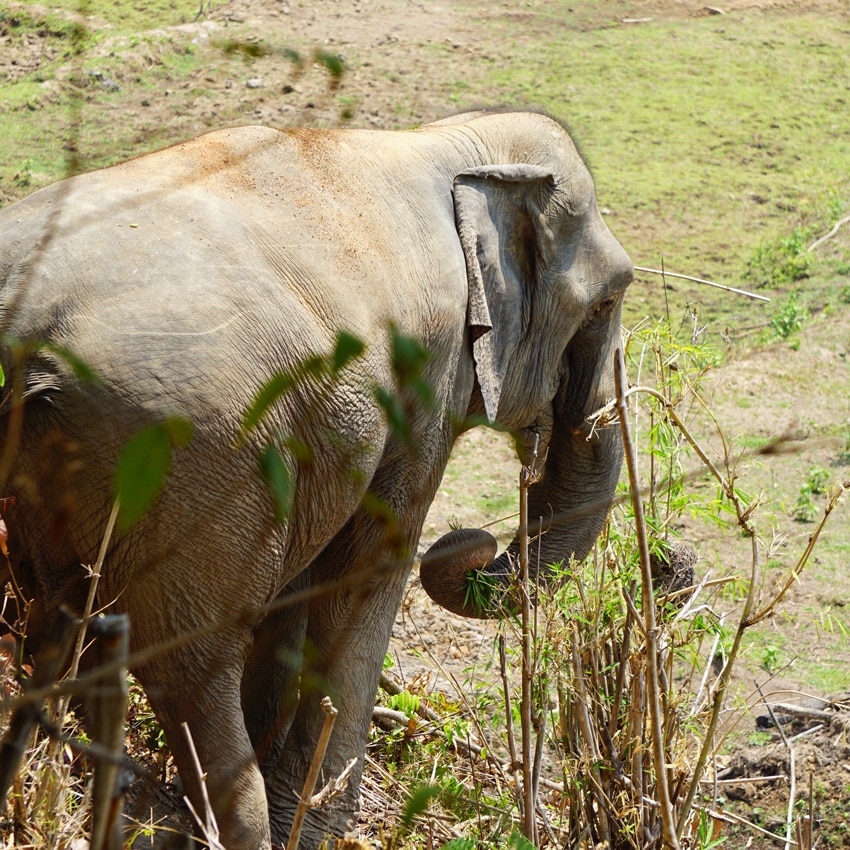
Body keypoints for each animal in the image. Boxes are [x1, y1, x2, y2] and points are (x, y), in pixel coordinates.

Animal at [0, 110, 632, 849]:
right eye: (607, 301)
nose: (472, 541)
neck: (452, 141)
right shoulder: (428, 381)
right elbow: (366, 568)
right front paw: (316, 832)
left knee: (66, 633)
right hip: (185, 462)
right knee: (188, 665)